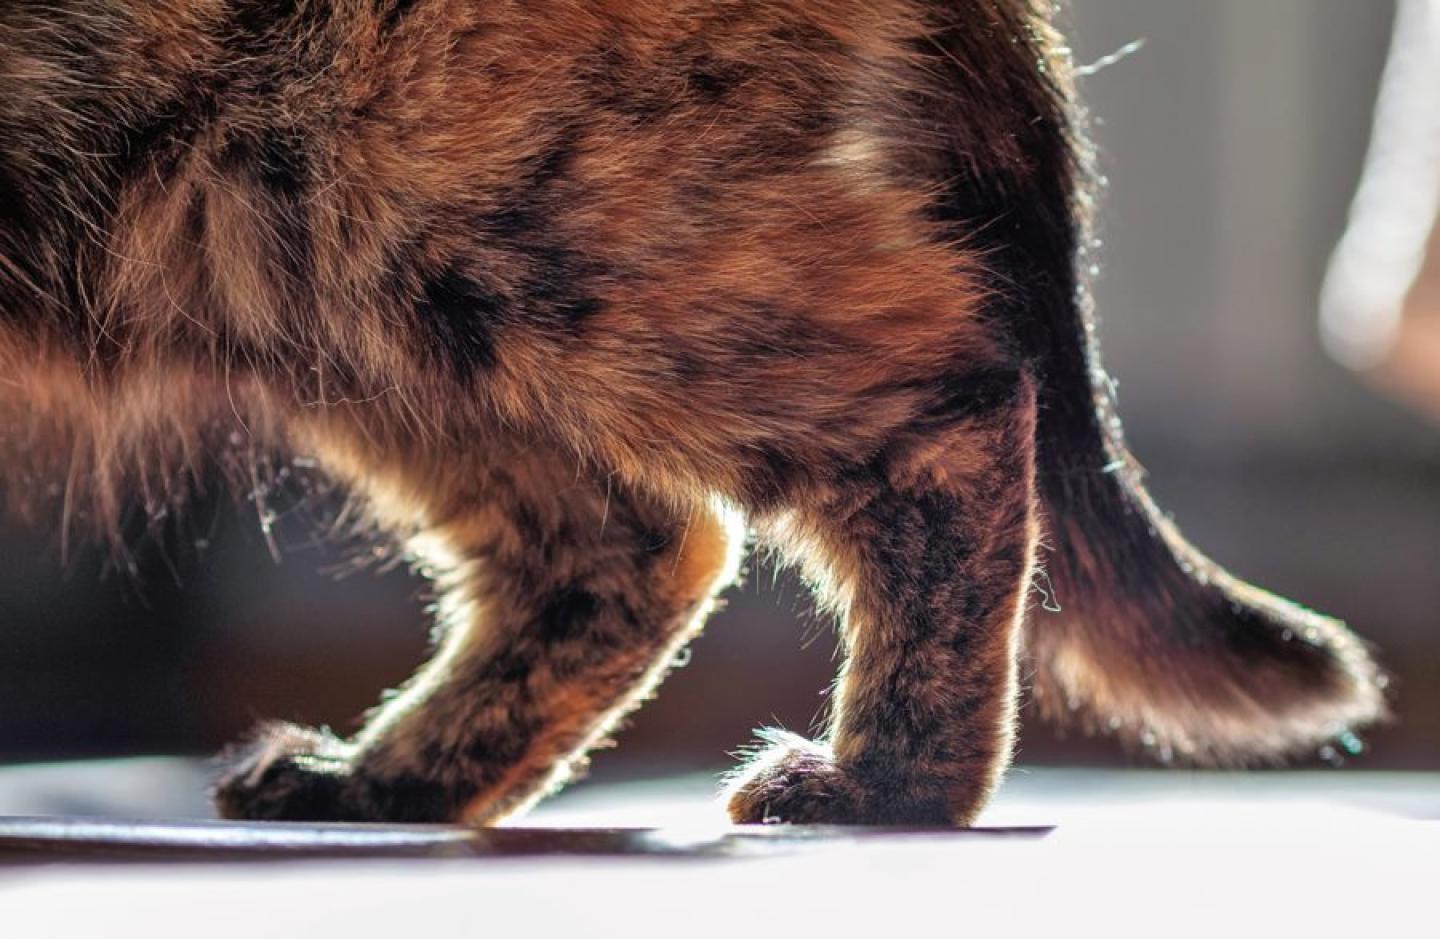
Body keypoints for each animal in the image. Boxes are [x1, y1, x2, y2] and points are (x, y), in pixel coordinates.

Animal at [0, 0, 1388, 823]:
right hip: (313, 279)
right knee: (638, 540)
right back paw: (384, 783)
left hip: (425, 199)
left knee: (948, 409)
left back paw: (887, 785)